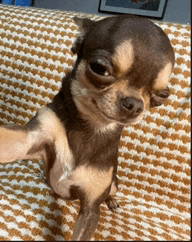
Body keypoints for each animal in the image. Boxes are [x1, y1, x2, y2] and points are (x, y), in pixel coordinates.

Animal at [0, 14, 174, 240]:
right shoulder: (33, 136)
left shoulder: (91, 209)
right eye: (99, 68)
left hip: (114, 183)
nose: (136, 104)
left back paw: (112, 201)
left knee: (112, 191)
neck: (91, 128)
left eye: (161, 96)